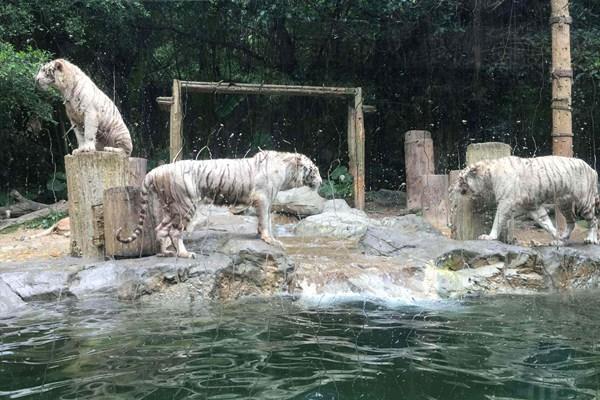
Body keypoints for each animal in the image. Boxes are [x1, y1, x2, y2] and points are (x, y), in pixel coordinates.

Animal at [118, 151, 324, 260]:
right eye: (314, 170)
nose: (321, 181)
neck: (287, 170)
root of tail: (156, 171)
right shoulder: (263, 198)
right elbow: (265, 220)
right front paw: (269, 239)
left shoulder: (268, 199)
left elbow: (267, 220)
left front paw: (270, 238)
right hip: (186, 204)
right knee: (175, 232)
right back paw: (185, 254)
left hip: (171, 206)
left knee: (161, 228)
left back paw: (166, 252)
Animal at [454, 155, 600, 244]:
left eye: (460, 178)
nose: (454, 187)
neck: (488, 177)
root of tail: (592, 169)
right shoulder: (532, 206)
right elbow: (545, 222)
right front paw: (557, 239)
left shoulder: (505, 201)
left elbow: (498, 220)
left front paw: (489, 236)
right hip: (564, 203)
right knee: (572, 221)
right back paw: (564, 236)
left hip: (584, 201)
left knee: (593, 220)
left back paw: (591, 239)